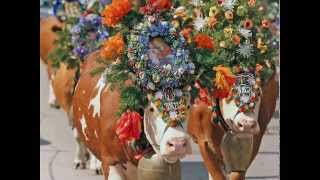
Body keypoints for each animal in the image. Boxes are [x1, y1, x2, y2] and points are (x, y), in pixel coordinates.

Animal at [72, 47, 192, 179]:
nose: (178, 144)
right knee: (78, 138)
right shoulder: (110, 161)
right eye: (151, 109)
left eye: (187, 106)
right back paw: (81, 162)